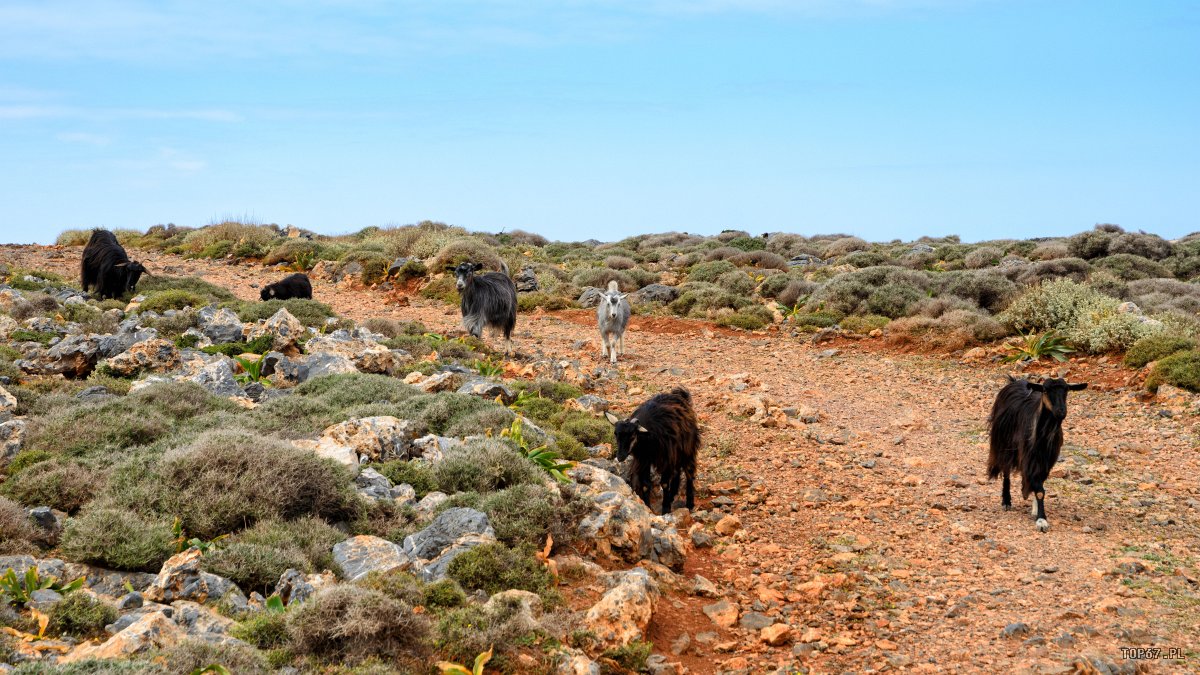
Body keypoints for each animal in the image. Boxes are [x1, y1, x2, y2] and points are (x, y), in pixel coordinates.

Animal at [984, 372, 1089, 530]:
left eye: (1066, 390)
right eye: (1045, 390)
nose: (1061, 412)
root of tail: (1014, 381)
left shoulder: (1047, 461)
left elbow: (1040, 486)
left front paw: (1036, 510)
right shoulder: (1028, 456)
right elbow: (1039, 490)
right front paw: (1041, 520)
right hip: (1004, 444)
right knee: (1006, 470)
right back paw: (1006, 501)